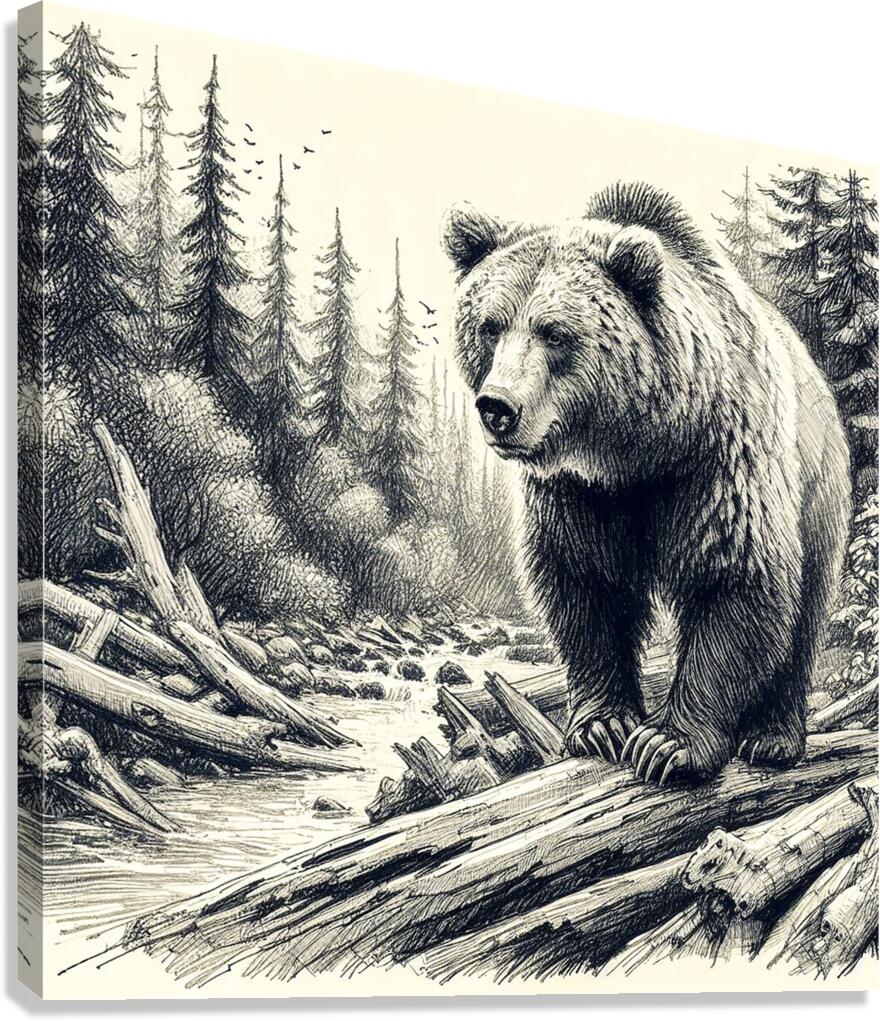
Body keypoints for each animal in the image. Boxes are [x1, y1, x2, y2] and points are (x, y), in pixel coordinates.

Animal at [442, 181, 851, 785]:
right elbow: (583, 583)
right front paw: (605, 725)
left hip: (817, 483)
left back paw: (772, 737)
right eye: (490, 325)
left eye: (555, 333)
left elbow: (734, 577)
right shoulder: (576, 493)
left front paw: (669, 743)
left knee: (806, 609)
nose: (497, 407)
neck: (634, 450)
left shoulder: (717, 460)